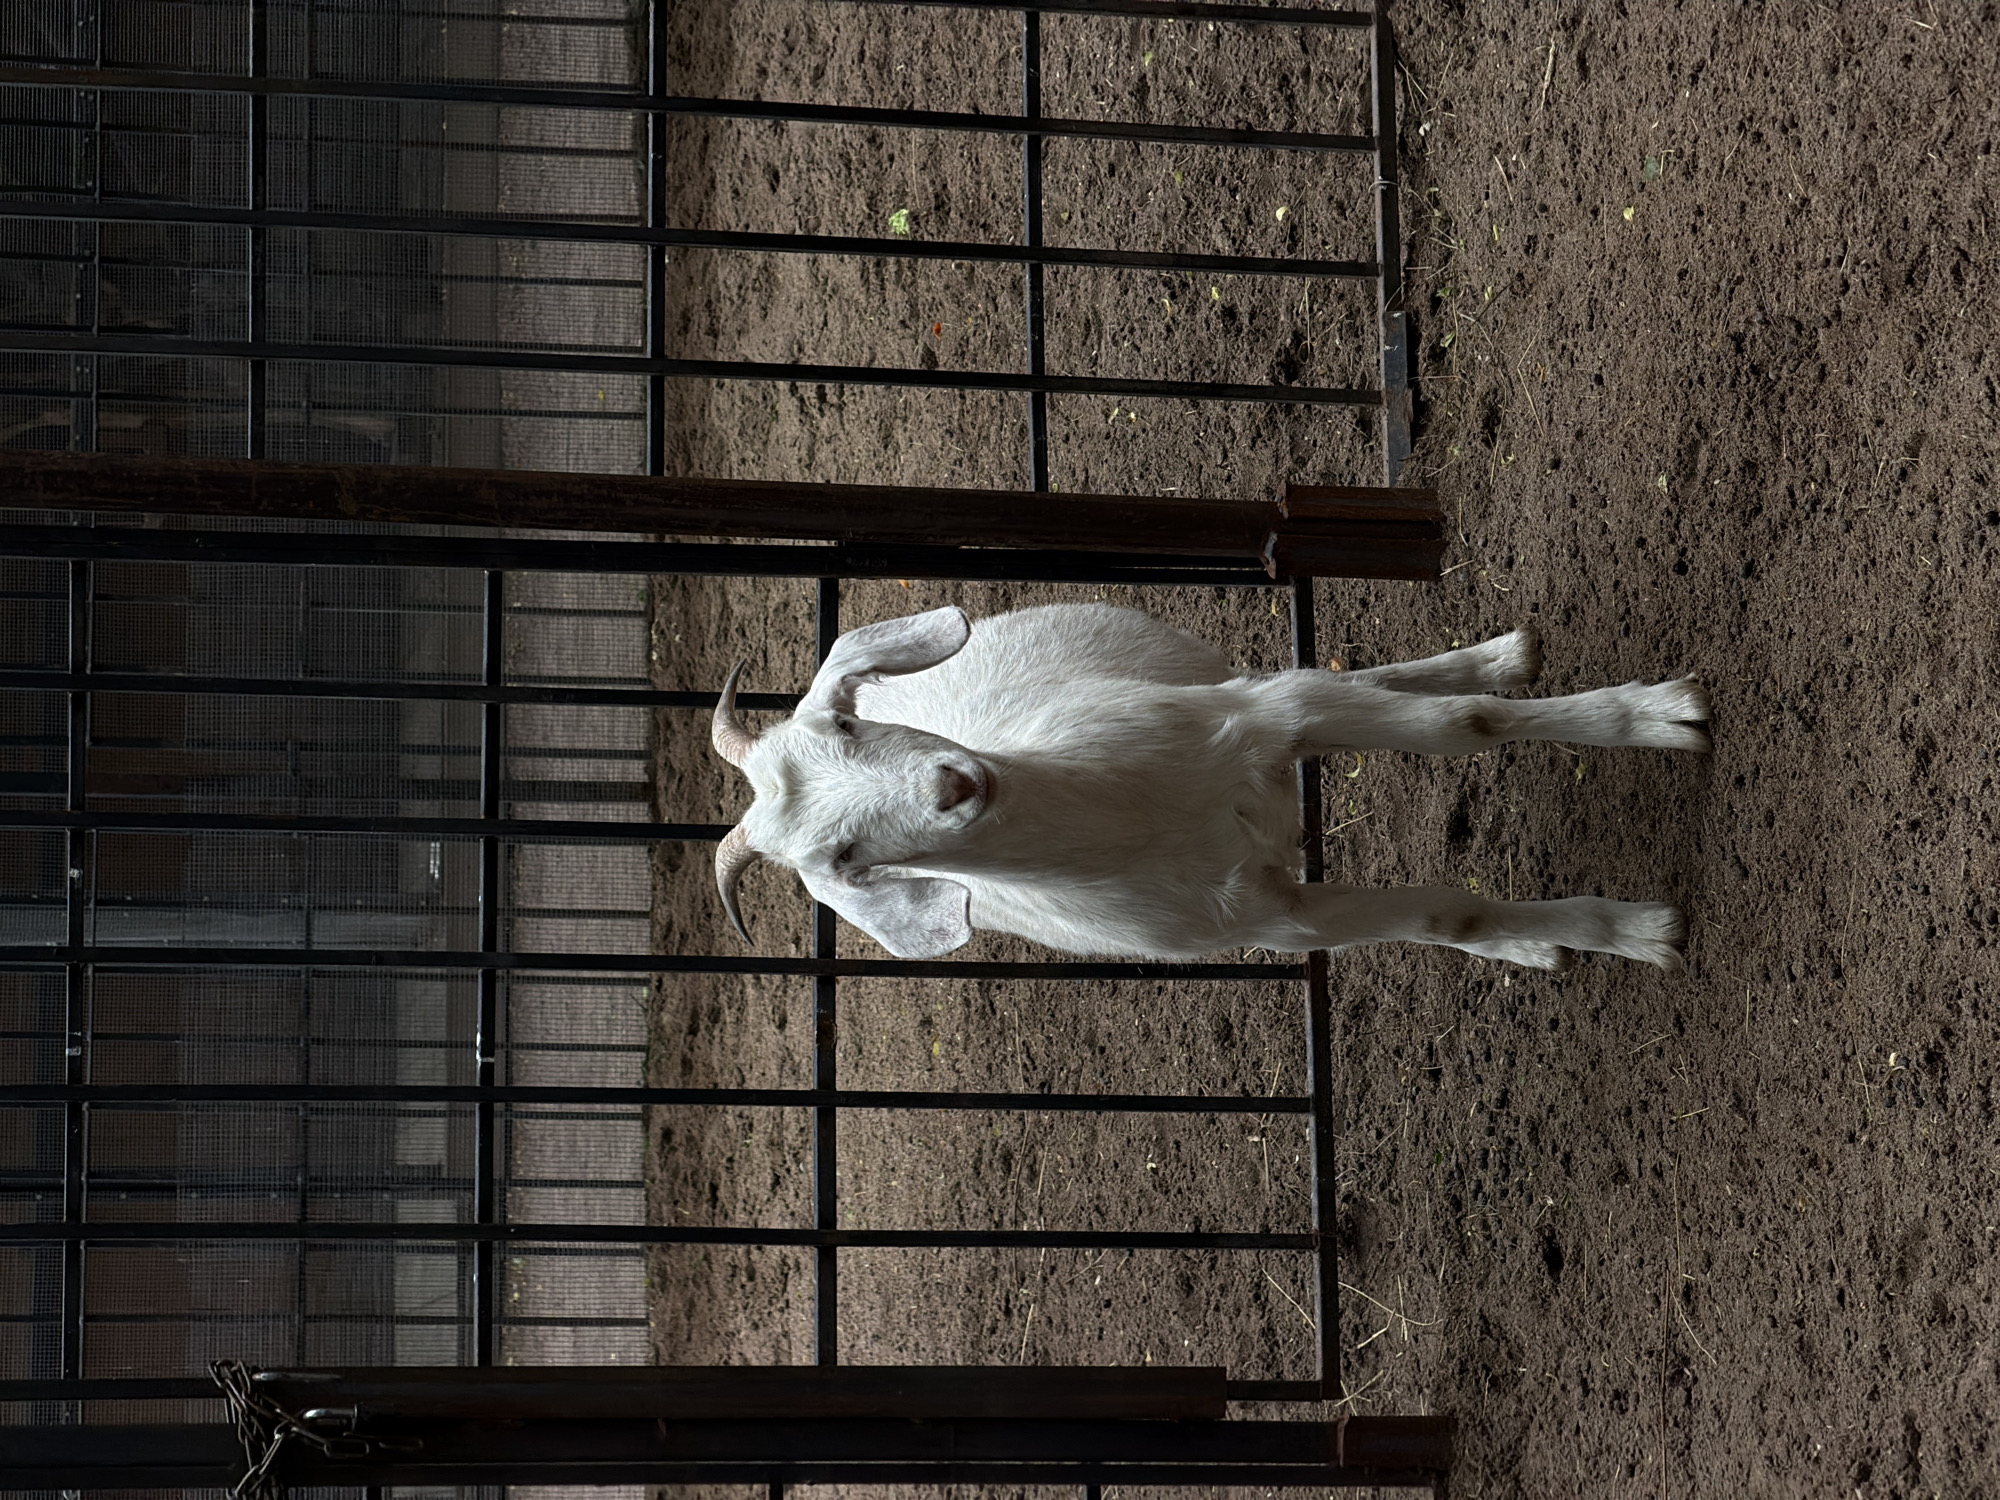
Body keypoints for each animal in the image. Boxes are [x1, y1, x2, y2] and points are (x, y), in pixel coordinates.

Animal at [710, 603, 1709, 970]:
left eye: (846, 722)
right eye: (843, 863)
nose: (952, 785)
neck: (1144, 818)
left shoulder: (1270, 716)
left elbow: (1468, 727)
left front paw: (1663, 715)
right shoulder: (1273, 921)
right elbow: (1443, 916)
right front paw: (1627, 933)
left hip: (1222, 680)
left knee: (1355, 675)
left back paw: (1498, 656)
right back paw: (1532, 950)